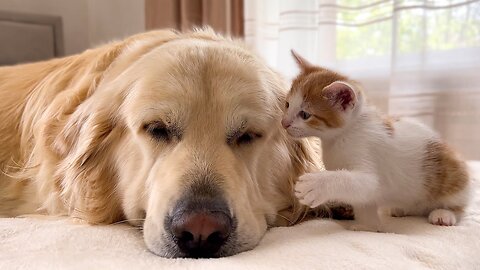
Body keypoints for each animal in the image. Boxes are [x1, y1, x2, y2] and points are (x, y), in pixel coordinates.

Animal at [284, 51, 470, 232]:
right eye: (287, 104)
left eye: (305, 114)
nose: (283, 123)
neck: (342, 136)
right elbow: (363, 200)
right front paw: (368, 226)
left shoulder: (372, 163)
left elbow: (361, 183)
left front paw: (315, 185)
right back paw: (401, 209)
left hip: (452, 179)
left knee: (458, 206)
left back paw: (444, 214)